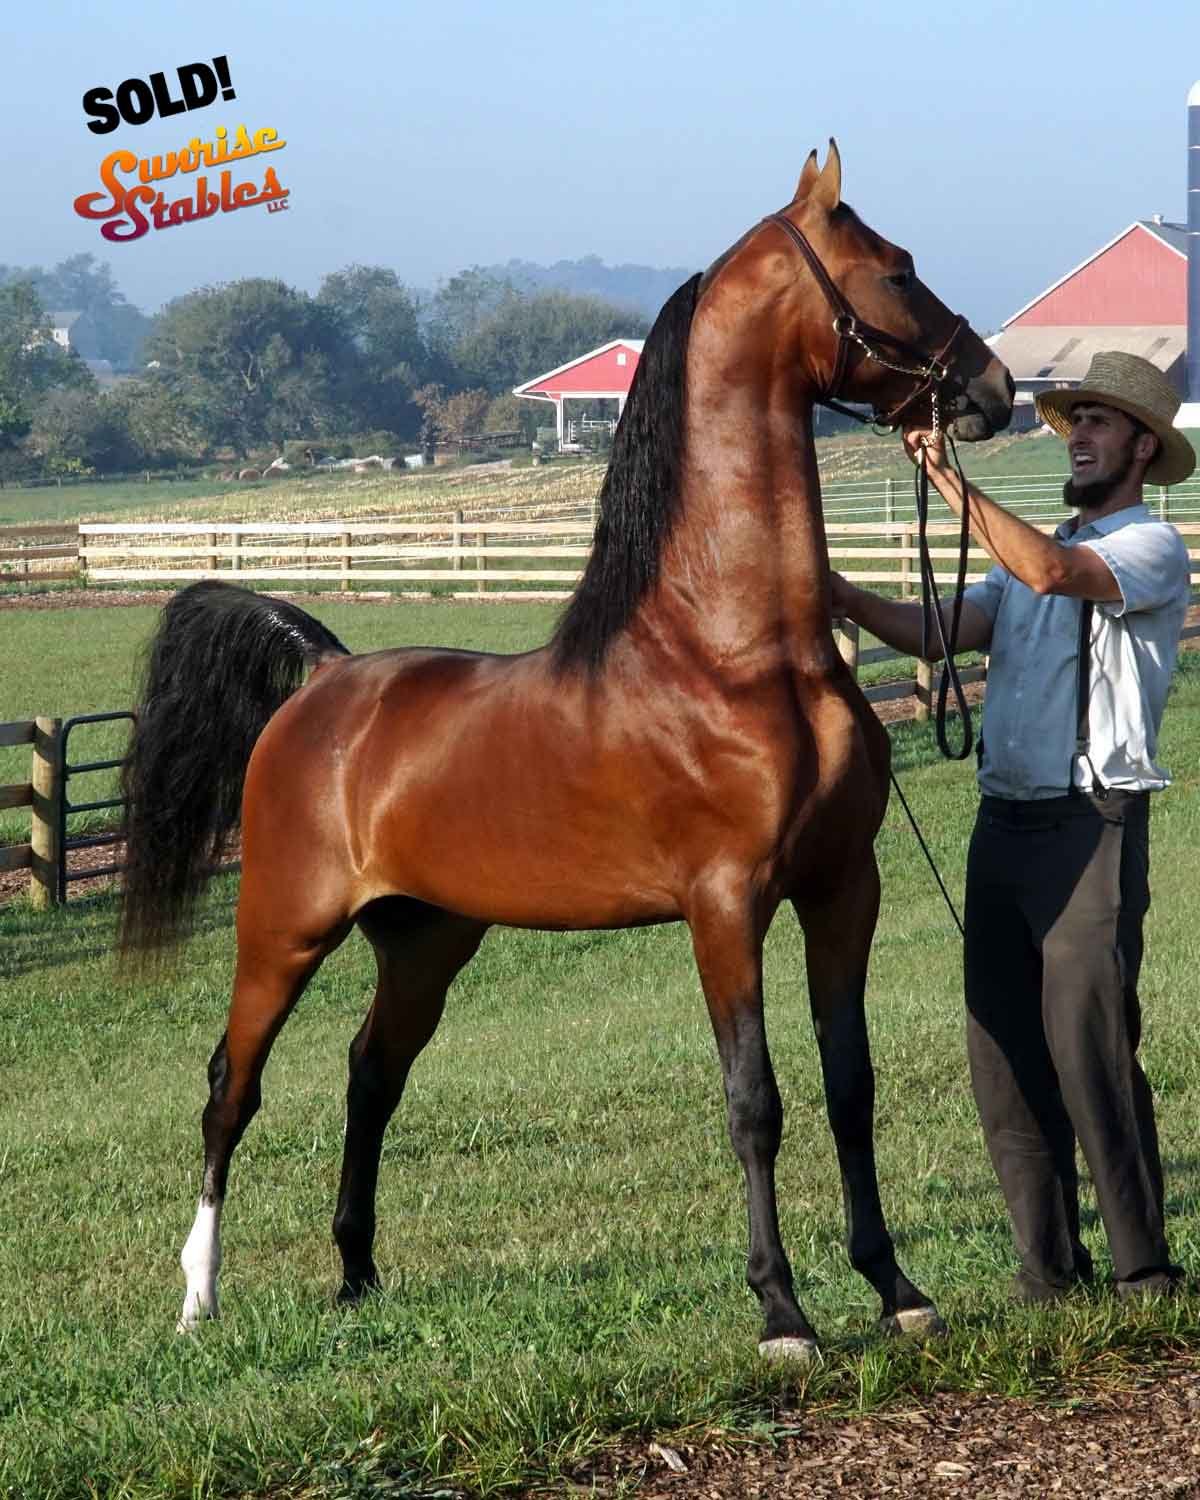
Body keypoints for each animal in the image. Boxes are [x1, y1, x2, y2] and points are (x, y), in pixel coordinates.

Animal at [119, 143, 1013, 1360]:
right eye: (897, 268)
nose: (996, 388)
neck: (732, 655)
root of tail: (326, 676)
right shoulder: (725, 905)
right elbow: (756, 1101)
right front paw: (782, 1312)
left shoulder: (842, 887)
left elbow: (849, 1085)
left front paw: (895, 1287)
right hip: (283, 930)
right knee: (231, 1085)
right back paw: (199, 1299)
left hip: (427, 940)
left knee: (370, 1077)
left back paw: (357, 1276)